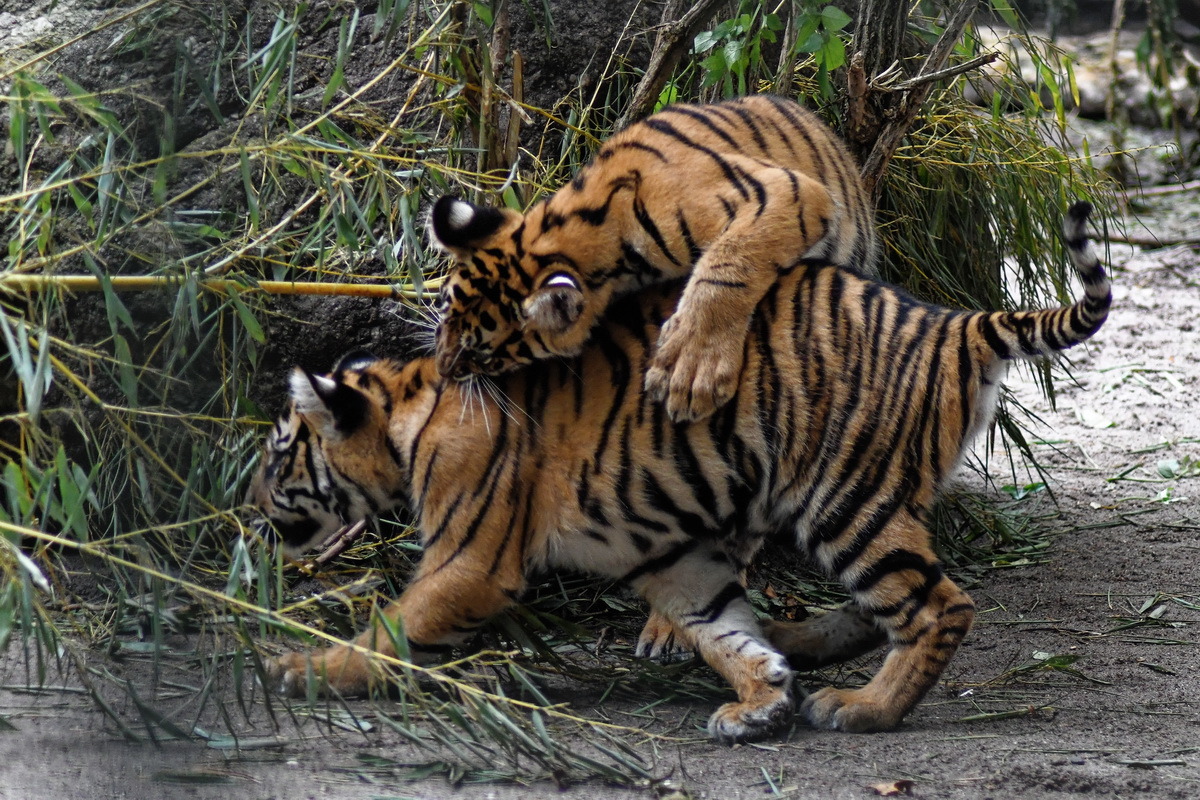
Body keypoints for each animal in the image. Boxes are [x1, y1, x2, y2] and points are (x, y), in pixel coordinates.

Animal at [248, 202, 1109, 741]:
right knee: (884, 604)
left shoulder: (472, 560)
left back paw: (865, 708)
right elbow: (721, 630)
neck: (406, 417)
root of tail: (954, 324)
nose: (250, 508)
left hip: (844, 499)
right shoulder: (674, 560)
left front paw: (299, 667)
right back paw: (799, 646)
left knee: (939, 606)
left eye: (280, 452)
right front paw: (762, 700)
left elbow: (392, 625)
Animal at [428, 94, 878, 424]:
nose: (442, 370)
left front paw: (690, 370)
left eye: (482, 354)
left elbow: (728, 265)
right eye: (443, 314)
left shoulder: (784, 189)